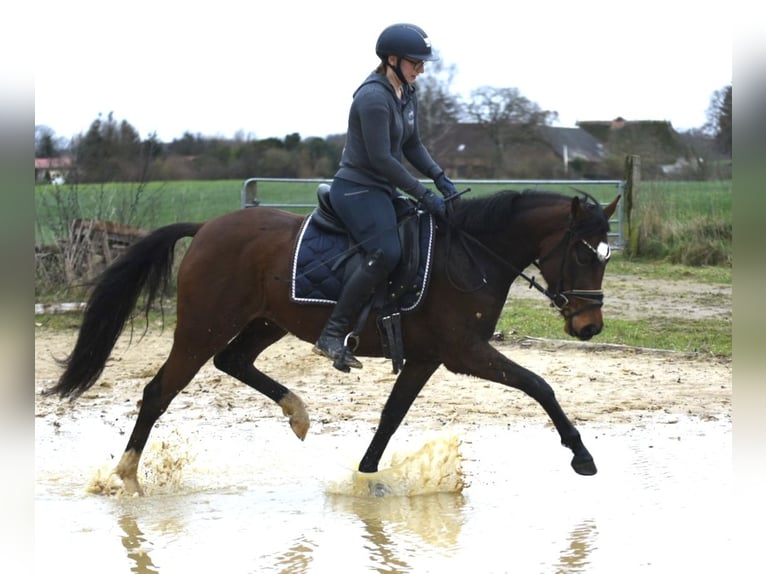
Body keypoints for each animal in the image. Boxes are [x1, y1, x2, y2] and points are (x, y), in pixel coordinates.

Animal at [46, 189, 624, 496]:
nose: (589, 327)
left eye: (605, 255)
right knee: (158, 393)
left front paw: (367, 480)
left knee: (232, 360)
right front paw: (582, 456)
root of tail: (208, 226)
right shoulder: (464, 353)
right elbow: (539, 385)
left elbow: (391, 417)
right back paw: (128, 479)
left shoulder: (427, 358)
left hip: (266, 322)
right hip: (200, 327)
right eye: (581, 253)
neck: (471, 255)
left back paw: (297, 411)